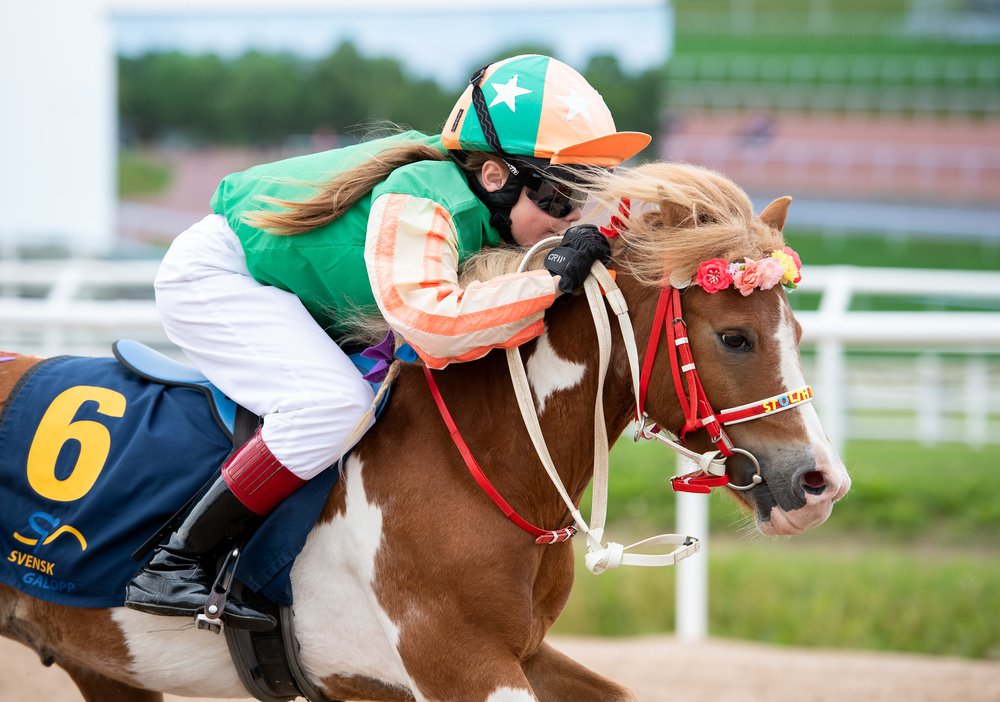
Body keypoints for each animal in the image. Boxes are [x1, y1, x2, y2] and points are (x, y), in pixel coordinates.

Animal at [0, 162, 852, 700]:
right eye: (735, 337)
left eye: (798, 330)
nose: (820, 483)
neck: (485, 465)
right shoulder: (456, 660)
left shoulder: (518, 651)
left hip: (106, 666)